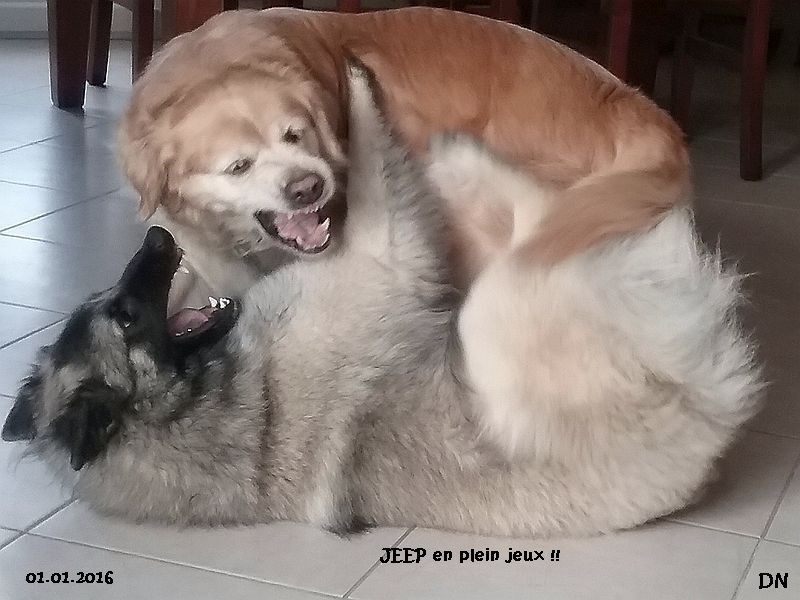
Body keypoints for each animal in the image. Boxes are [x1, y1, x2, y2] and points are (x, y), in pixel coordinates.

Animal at [1, 64, 761, 538]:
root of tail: (708, 435)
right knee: (543, 231)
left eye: (110, 301)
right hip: (498, 313)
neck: (198, 406)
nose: (158, 238)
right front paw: (359, 91)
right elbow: (369, 159)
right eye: (125, 315)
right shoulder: (384, 256)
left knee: (539, 213)